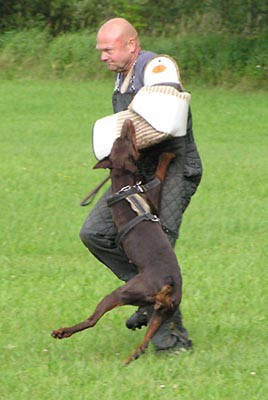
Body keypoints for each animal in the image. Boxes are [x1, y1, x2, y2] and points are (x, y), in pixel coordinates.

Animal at [51, 119, 182, 366]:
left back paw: (127, 360)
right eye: (126, 138)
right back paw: (62, 332)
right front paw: (166, 155)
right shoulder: (153, 201)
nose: (128, 121)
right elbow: (158, 176)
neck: (124, 187)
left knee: (142, 345)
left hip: (161, 311)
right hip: (123, 295)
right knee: (92, 321)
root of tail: (165, 286)